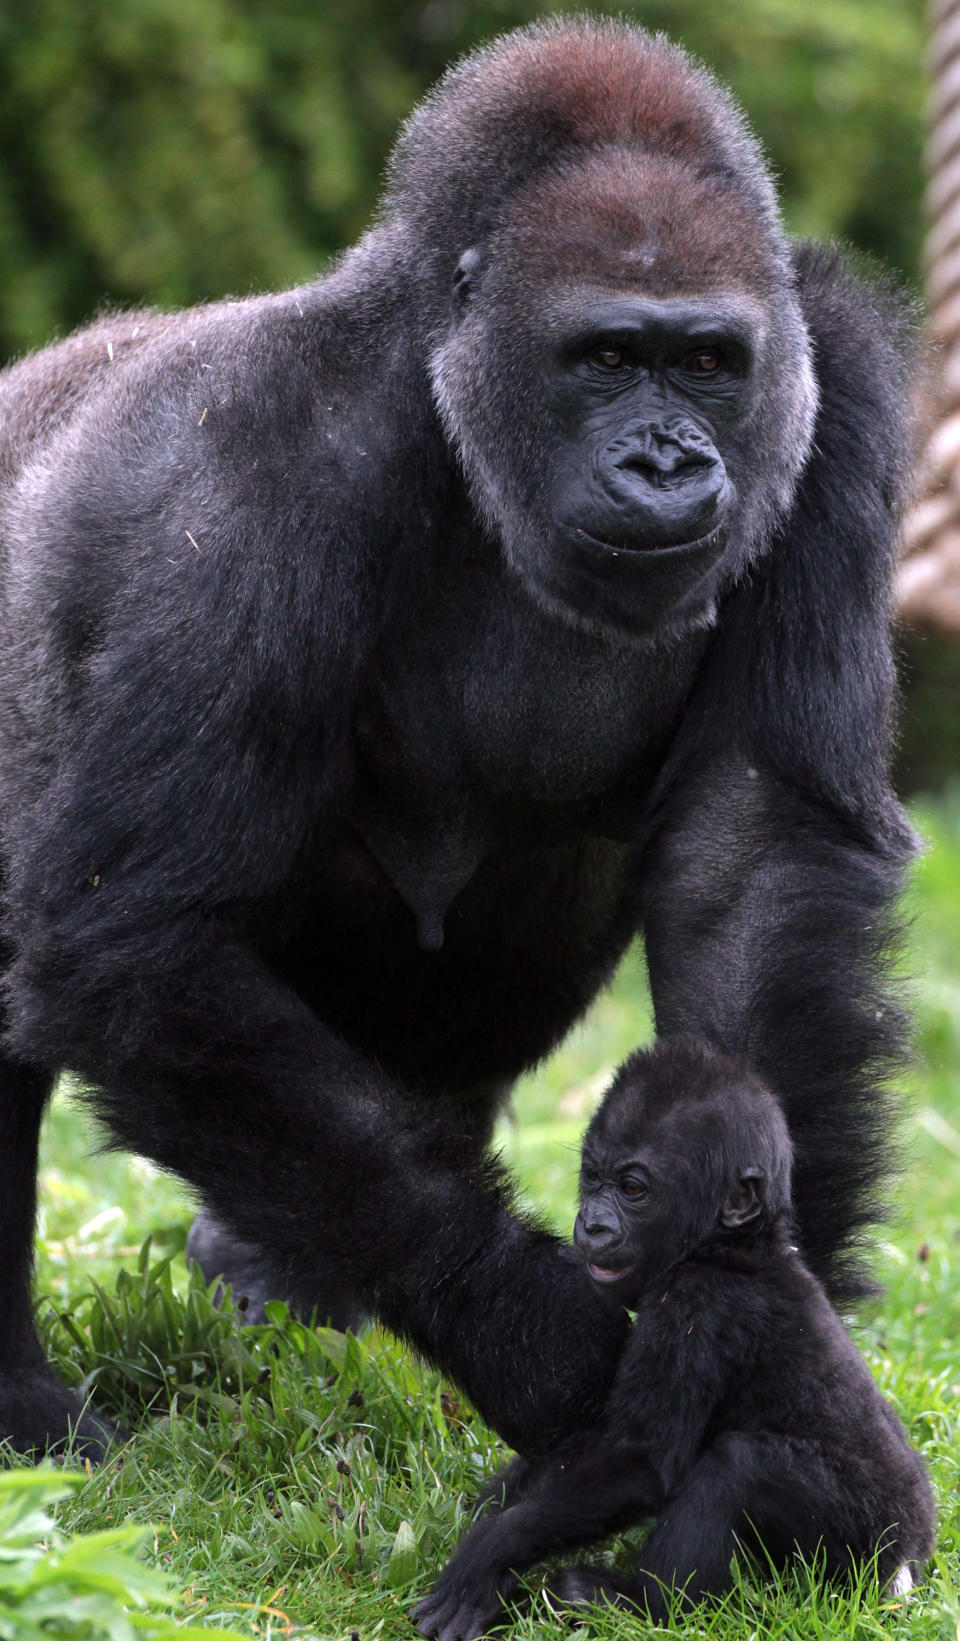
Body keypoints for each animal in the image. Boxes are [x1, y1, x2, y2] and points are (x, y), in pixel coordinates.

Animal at [0, 19, 912, 1457]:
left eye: (708, 362)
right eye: (607, 358)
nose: (668, 465)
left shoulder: (836, 392)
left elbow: (750, 865)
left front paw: (773, 1303)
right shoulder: (251, 455)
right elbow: (132, 933)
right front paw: (529, 1332)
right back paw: (21, 1394)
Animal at [410, 1043, 925, 1641]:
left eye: (632, 1190)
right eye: (592, 1179)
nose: (591, 1224)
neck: (733, 1245)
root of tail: (912, 1562)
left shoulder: (696, 1307)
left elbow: (642, 1462)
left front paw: (490, 1552)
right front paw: (504, 1497)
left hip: (863, 1551)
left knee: (739, 1466)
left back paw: (642, 1606)